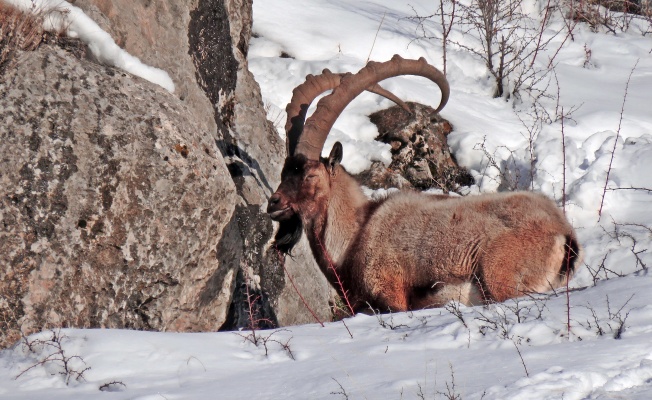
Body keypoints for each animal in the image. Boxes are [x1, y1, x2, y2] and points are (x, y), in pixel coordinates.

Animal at [264, 54, 580, 314]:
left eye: (310, 175)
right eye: (284, 172)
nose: (273, 204)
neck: (357, 233)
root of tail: (564, 235)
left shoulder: (391, 294)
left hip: (500, 277)